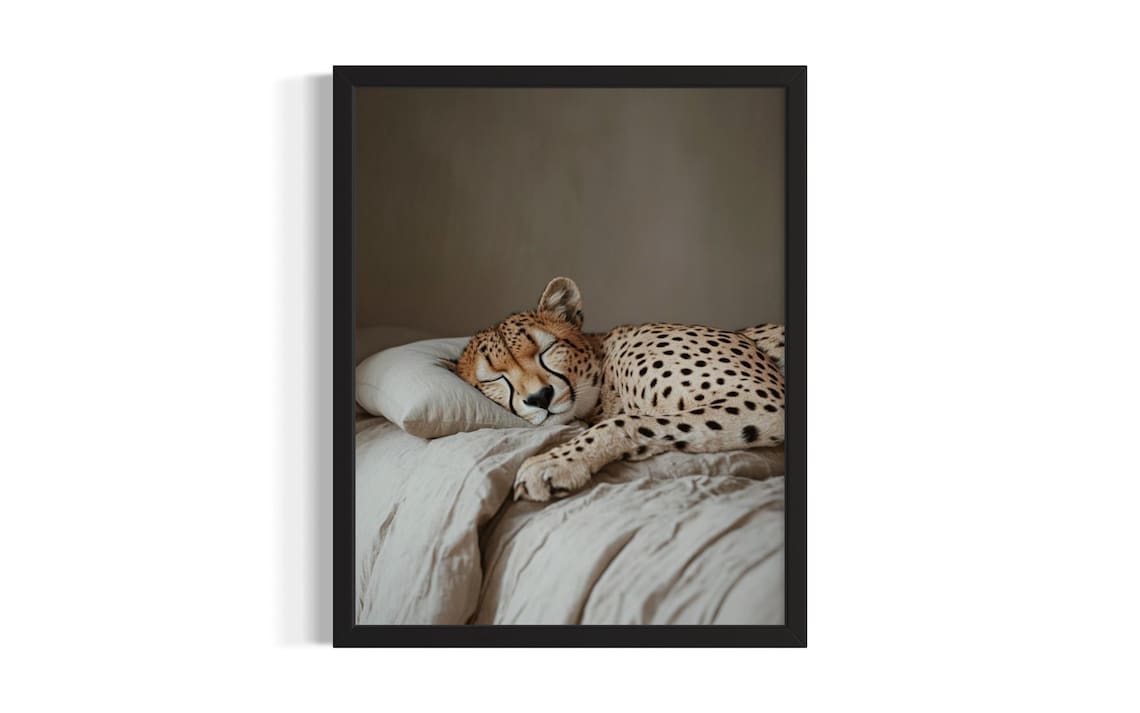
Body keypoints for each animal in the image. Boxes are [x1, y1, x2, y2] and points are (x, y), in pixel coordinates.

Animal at [453, 277, 785, 502]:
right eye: (494, 378)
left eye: (547, 349)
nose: (540, 397)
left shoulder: (764, 400)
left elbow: (626, 422)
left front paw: (554, 462)